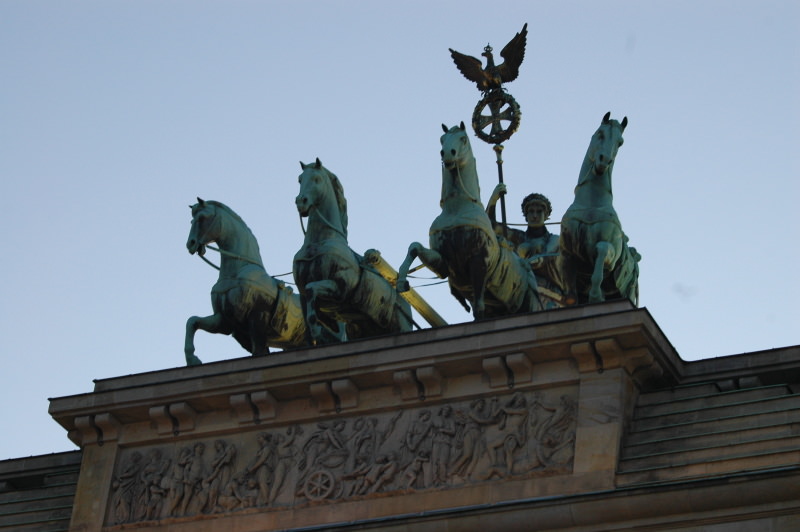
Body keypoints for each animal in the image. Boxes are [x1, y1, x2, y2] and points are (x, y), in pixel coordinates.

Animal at [184, 200, 306, 366]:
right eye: (191, 221)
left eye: (202, 218)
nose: (191, 244)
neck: (237, 271)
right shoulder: (224, 321)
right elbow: (193, 321)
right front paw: (192, 359)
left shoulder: (258, 319)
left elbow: (258, 352)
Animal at [290, 157, 412, 344]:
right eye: (299, 179)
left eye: (317, 179)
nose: (300, 201)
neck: (320, 242)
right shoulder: (303, 294)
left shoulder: (339, 289)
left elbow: (312, 289)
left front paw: (319, 328)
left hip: (401, 327)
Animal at [396, 122, 540, 318]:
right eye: (442, 139)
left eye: (463, 138)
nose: (447, 154)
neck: (456, 208)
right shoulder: (446, 265)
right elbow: (415, 247)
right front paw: (401, 281)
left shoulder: (479, 260)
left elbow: (478, 308)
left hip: (531, 303)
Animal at [560, 111, 640, 304]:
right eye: (600, 133)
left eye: (620, 142)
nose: (604, 161)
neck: (592, 204)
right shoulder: (566, 254)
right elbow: (570, 294)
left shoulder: (610, 254)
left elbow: (602, 251)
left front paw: (595, 295)